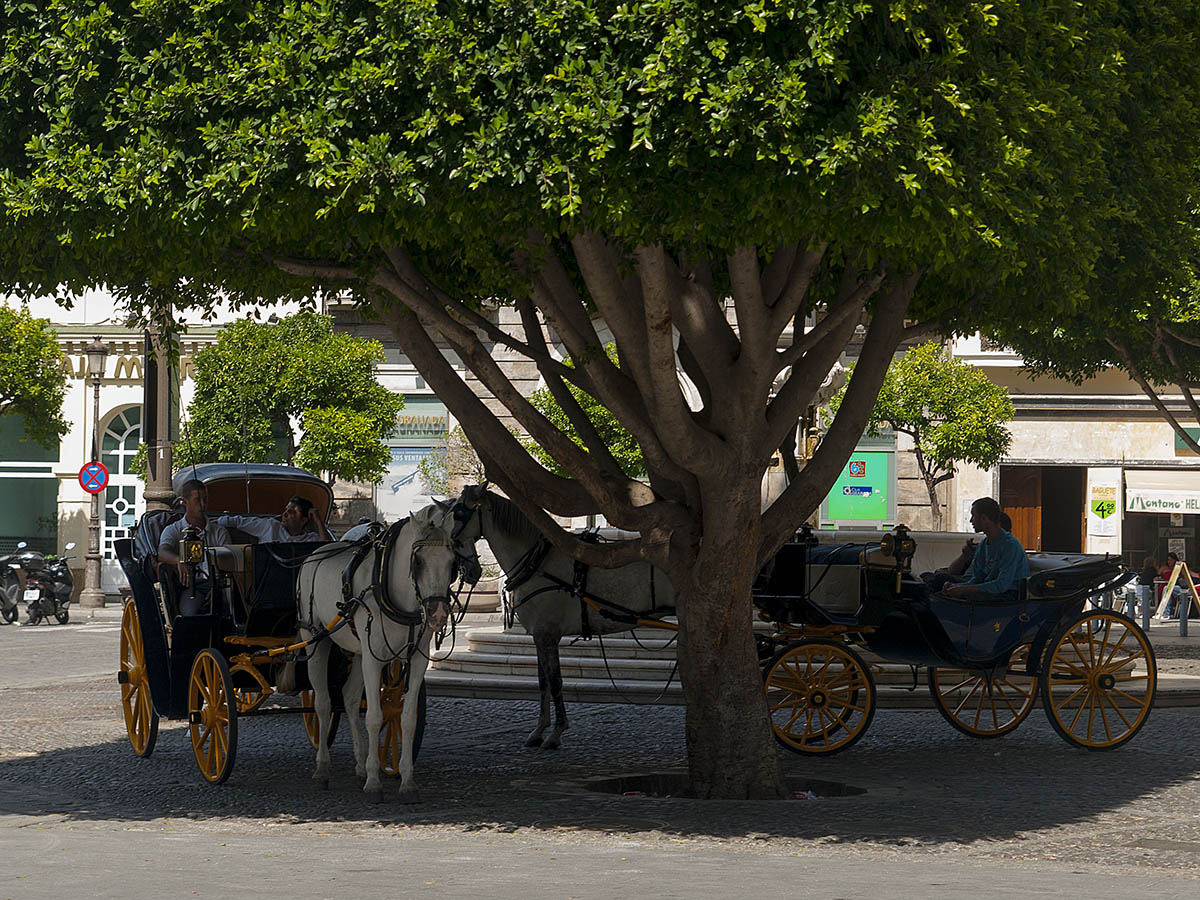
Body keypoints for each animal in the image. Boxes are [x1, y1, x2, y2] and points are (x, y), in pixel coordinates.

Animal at [297, 508, 460, 801]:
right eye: (418, 561)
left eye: (452, 563)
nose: (438, 614)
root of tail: (315, 553)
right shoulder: (374, 659)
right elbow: (374, 716)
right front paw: (374, 782)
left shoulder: (416, 659)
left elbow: (407, 718)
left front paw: (406, 780)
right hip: (315, 639)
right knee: (323, 704)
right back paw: (323, 767)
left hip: (359, 652)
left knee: (349, 698)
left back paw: (360, 764)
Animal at [451, 489, 676, 748]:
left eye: (459, 512)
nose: (468, 569)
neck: (538, 563)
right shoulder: (539, 636)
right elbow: (543, 681)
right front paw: (540, 729)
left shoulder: (548, 634)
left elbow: (555, 680)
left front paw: (557, 731)